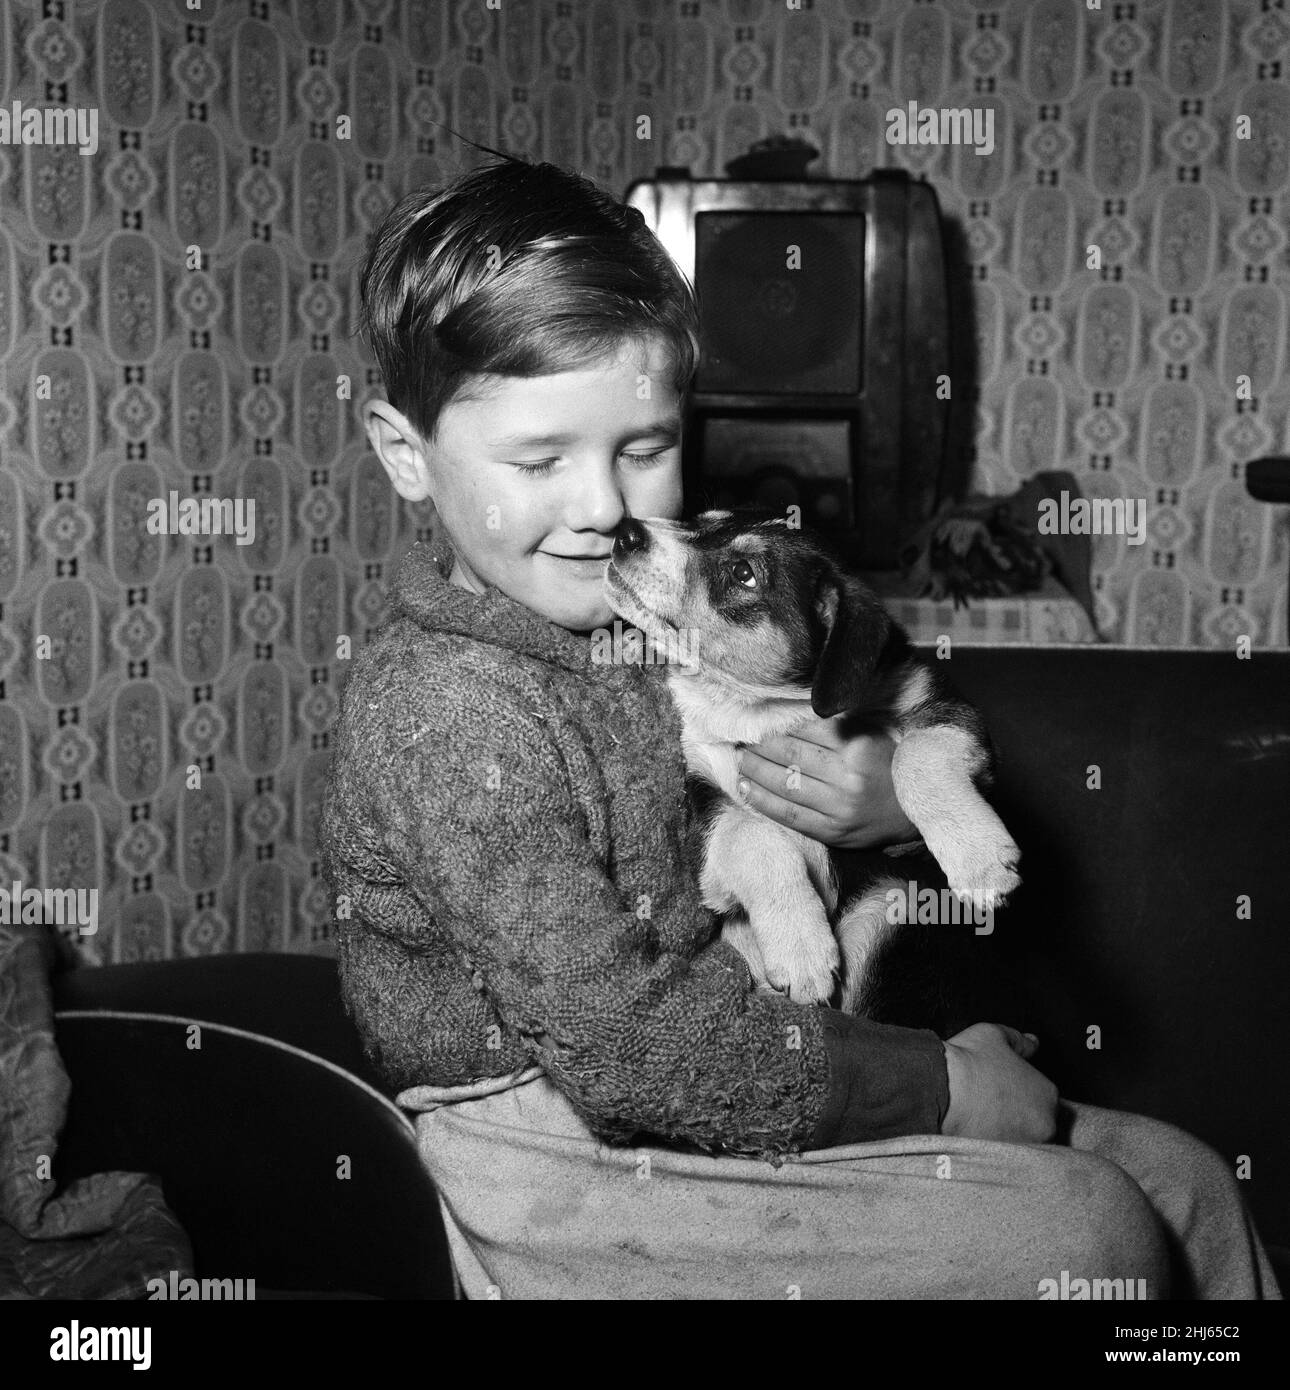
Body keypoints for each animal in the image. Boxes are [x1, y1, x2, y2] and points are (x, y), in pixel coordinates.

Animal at [603, 511, 1017, 1011]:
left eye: (743, 572)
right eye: (701, 520)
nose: (625, 532)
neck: (760, 710)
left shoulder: (947, 710)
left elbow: (914, 755)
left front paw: (980, 862)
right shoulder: (702, 792)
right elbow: (754, 834)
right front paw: (801, 948)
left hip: (893, 901)